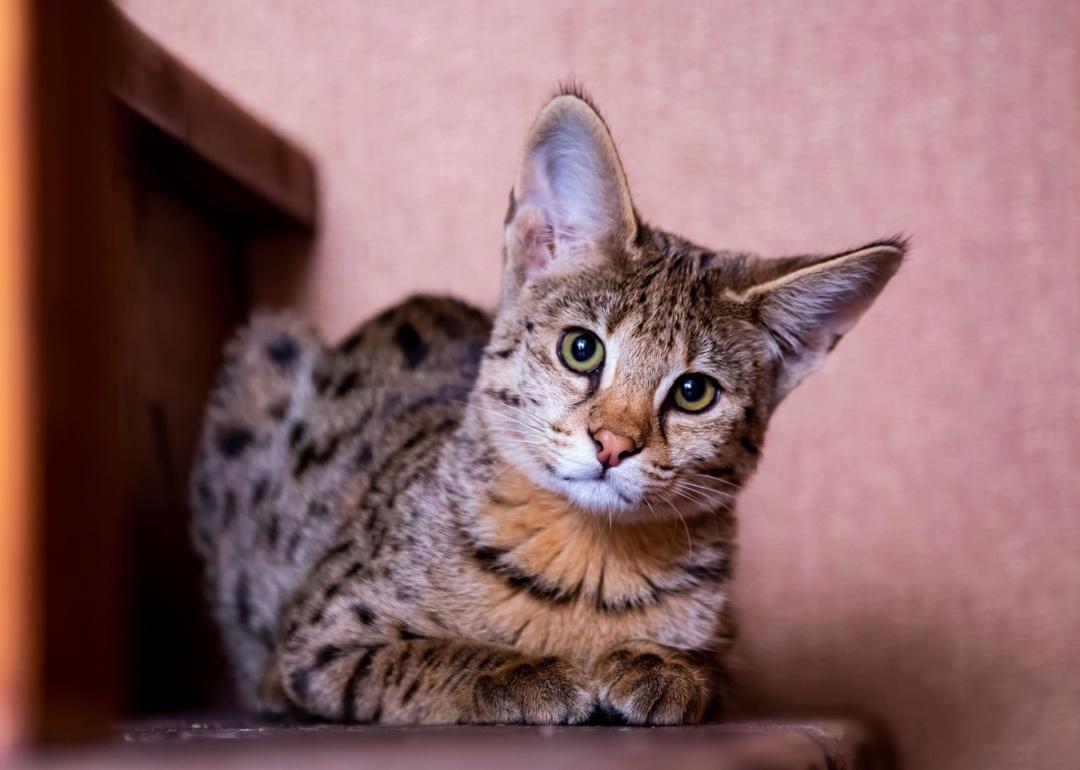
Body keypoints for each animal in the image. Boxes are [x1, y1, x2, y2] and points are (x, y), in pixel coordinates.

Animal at [192, 86, 902, 725]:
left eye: (694, 392)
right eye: (582, 349)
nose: (613, 444)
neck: (591, 560)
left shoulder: (730, 659)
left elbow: (708, 670)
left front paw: (663, 665)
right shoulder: (312, 643)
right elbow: (421, 657)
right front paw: (524, 672)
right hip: (264, 353)